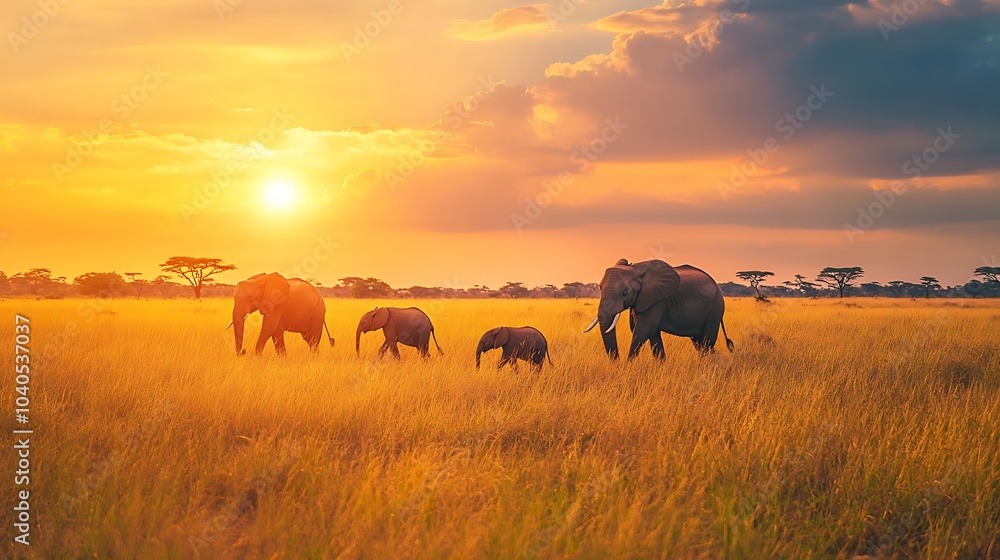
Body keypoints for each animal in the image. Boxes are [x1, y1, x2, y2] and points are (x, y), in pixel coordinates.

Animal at [584, 259, 734, 360]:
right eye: (600, 288)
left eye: (625, 292)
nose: (617, 362)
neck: (637, 269)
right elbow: (651, 333)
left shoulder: (657, 300)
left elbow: (642, 331)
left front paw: (627, 366)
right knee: (700, 342)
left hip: (715, 307)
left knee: (707, 342)